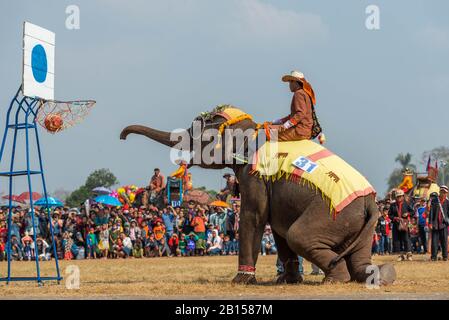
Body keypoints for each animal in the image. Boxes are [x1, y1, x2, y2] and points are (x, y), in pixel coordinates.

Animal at [120, 107, 396, 284]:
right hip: (361, 226)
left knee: (298, 235)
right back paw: (381, 275)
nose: (122, 136)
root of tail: (371, 203)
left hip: (332, 216)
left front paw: (241, 280)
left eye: (196, 131)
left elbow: (254, 217)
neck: (251, 131)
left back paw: (335, 279)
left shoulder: (256, 176)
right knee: (357, 258)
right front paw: (287, 280)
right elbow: (278, 225)